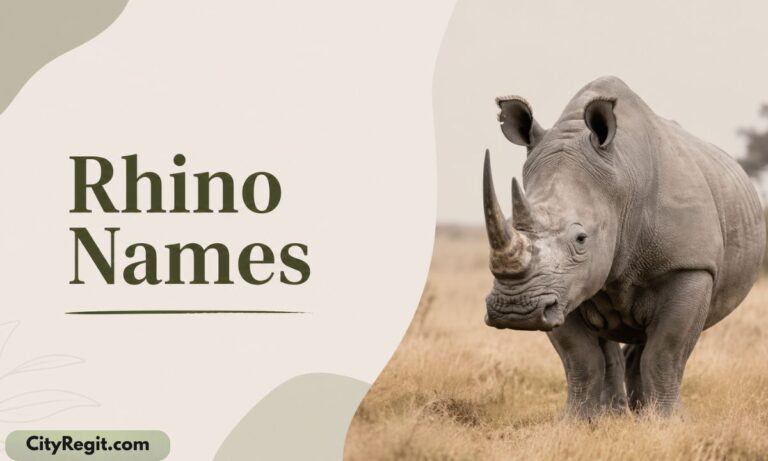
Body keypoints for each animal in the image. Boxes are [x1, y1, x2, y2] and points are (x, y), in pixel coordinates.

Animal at [482, 76, 765, 418]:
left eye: (581, 239)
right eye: (512, 222)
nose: (516, 309)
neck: (620, 186)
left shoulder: (690, 266)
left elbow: (666, 351)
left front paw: (666, 422)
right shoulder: (559, 290)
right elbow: (579, 357)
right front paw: (578, 421)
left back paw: (639, 412)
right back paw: (615, 413)